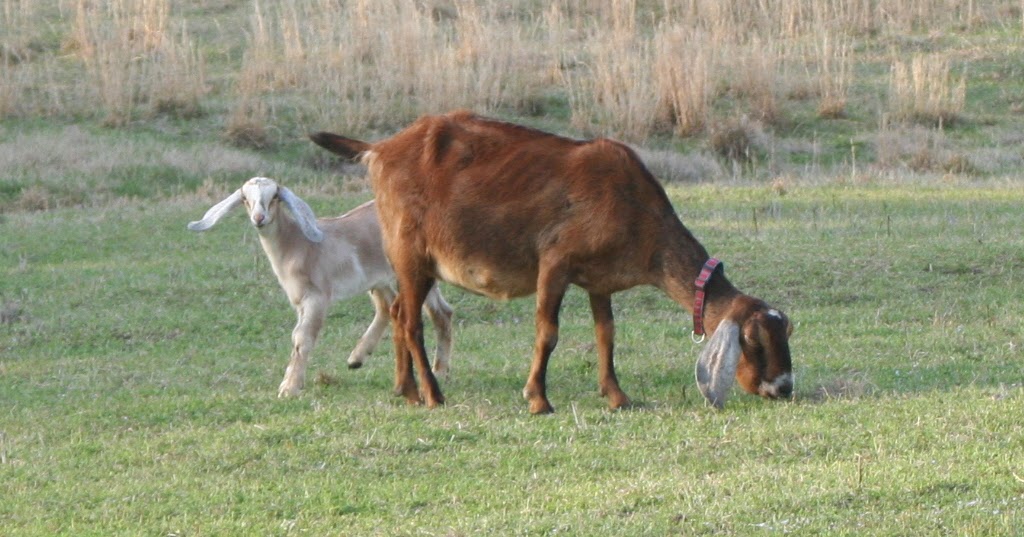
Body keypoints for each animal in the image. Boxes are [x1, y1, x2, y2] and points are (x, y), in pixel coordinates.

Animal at [187, 177, 454, 397]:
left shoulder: (316, 297)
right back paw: (357, 358)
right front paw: (292, 381)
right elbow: (297, 337)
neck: (298, 244)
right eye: (245, 199)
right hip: (377, 278)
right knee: (387, 307)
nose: (259, 218)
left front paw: (289, 388)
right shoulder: (299, 301)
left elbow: (302, 337)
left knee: (441, 312)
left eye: (274, 197)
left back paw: (438, 371)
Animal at [310, 110, 793, 413]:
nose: (784, 388)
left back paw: (405, 390)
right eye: (754, 341)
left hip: (414, 262)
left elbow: (606, 334)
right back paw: (432, 394)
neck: (637, 210)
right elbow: (548, 332)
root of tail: (380, 149)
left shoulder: (600, 279)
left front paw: (617, 397)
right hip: (411, 251)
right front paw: (538, 399)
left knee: (396, 312)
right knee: (410, 321)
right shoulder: (556, 262)